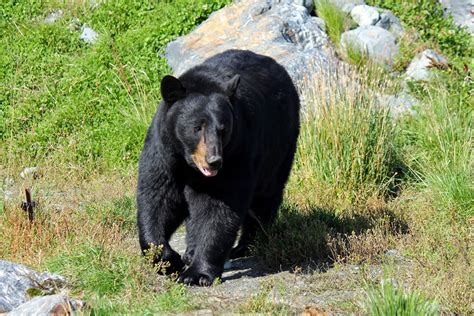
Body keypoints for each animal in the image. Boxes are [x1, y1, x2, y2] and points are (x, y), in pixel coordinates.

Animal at [137, 49, 300, 286]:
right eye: (197, 127)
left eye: (223, 129)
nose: (214, 160)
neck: (189, 164)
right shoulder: (164, 152)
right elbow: (157, 198)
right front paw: (170, 261)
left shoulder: (237, 153)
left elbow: (219, 206)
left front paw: (197, 273)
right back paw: (190, 251)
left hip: (279, 145)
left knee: (265, 197)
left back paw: (245, 245)